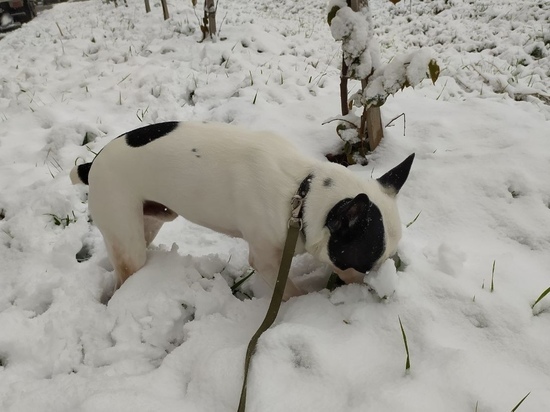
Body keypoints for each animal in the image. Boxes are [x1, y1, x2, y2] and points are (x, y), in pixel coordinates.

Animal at [70, 121, 414, 300]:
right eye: (365, 264)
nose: (379, 288)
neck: (303, 193)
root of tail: (92, 165)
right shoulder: (266, 261)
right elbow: (290, 292)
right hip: (125, 231)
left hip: (150, 219)